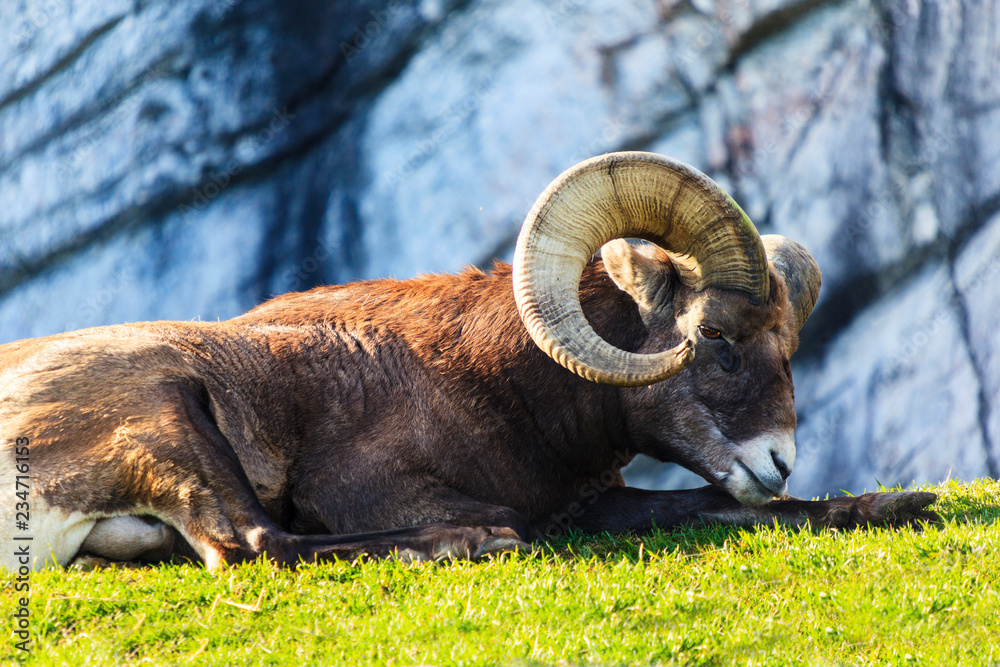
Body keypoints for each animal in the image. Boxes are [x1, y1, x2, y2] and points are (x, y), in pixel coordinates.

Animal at [1, 154, 936, 572]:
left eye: (787, 349)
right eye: (716, 340)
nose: (777, 460)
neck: (502, 391)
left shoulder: (603, 503)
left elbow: (735, 509)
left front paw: (897, 504)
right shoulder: (366, 489)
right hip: (170, 407)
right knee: (251, 543)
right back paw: (474, 542)